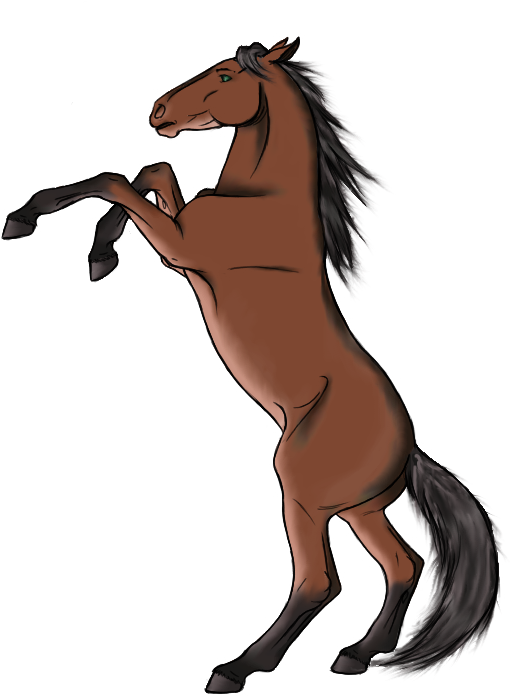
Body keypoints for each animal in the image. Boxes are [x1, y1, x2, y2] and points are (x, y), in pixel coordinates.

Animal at [3, 37, 506, 689]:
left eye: (223, 74)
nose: (158, 110)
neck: (265, 204)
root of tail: (411, 452)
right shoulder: (181, 244)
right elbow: (151, 173)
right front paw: (99, 253)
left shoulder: (183, 246)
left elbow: (117, 179)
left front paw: (29, 220)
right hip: (358, 510)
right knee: (403, 564)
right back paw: (357, 656)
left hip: (302, 493)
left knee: (320, 580)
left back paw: (238, 667)